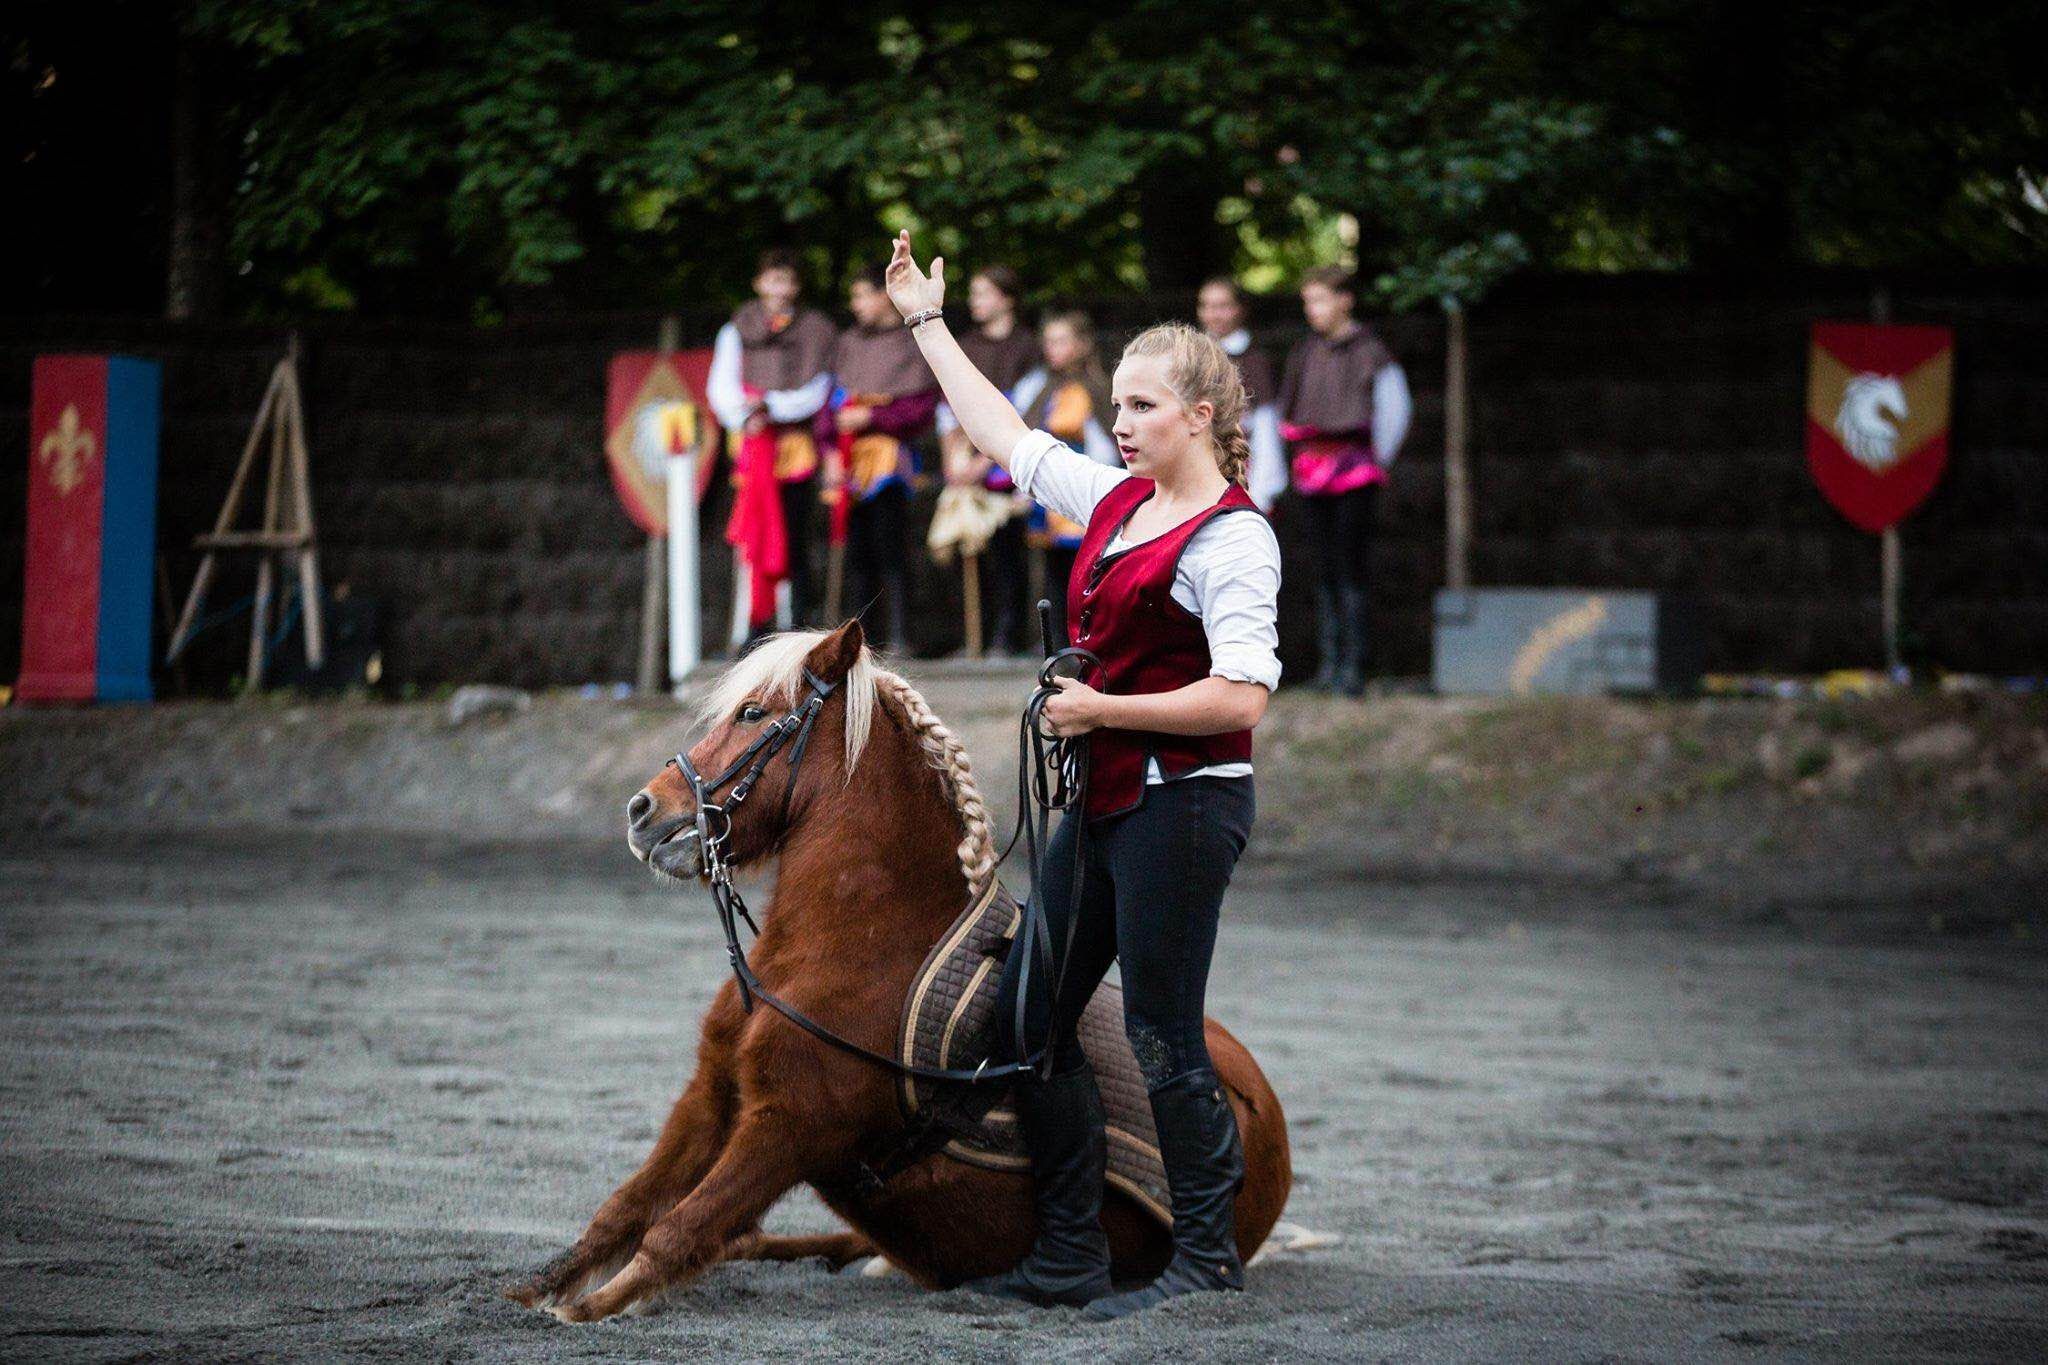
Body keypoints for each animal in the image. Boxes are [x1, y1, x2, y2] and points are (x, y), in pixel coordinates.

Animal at [505, 622, 1286, 1326]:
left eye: (753, 713)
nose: (643, 811)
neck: (844, 946)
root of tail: (1264, 1114)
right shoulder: (711, 1098)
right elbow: (624, 1209)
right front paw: (535, 1291)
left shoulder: (791, 1125)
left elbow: (678, 1227)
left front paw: (587, 1307)